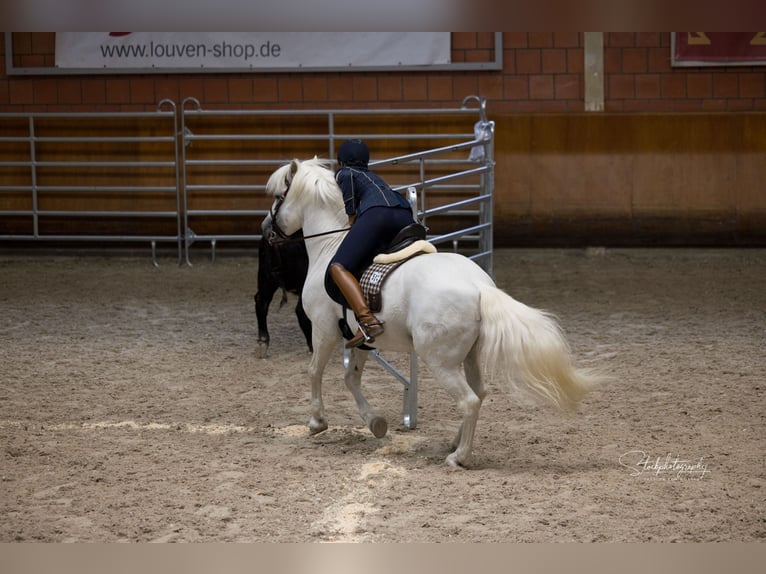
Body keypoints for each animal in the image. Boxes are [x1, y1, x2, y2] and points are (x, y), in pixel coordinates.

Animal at [266, 157, 602, 468]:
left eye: (279, 196)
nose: (266, 229)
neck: (329, 245)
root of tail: (479, 286)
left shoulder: (324, 329)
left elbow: (314, 371)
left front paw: (317, 422)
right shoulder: (361, 338)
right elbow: (352, 378)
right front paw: (375, 423)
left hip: (439, 359)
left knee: (468, 400)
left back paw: (459, 457)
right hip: (469, 355)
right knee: (479, 393)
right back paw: (455, 442)